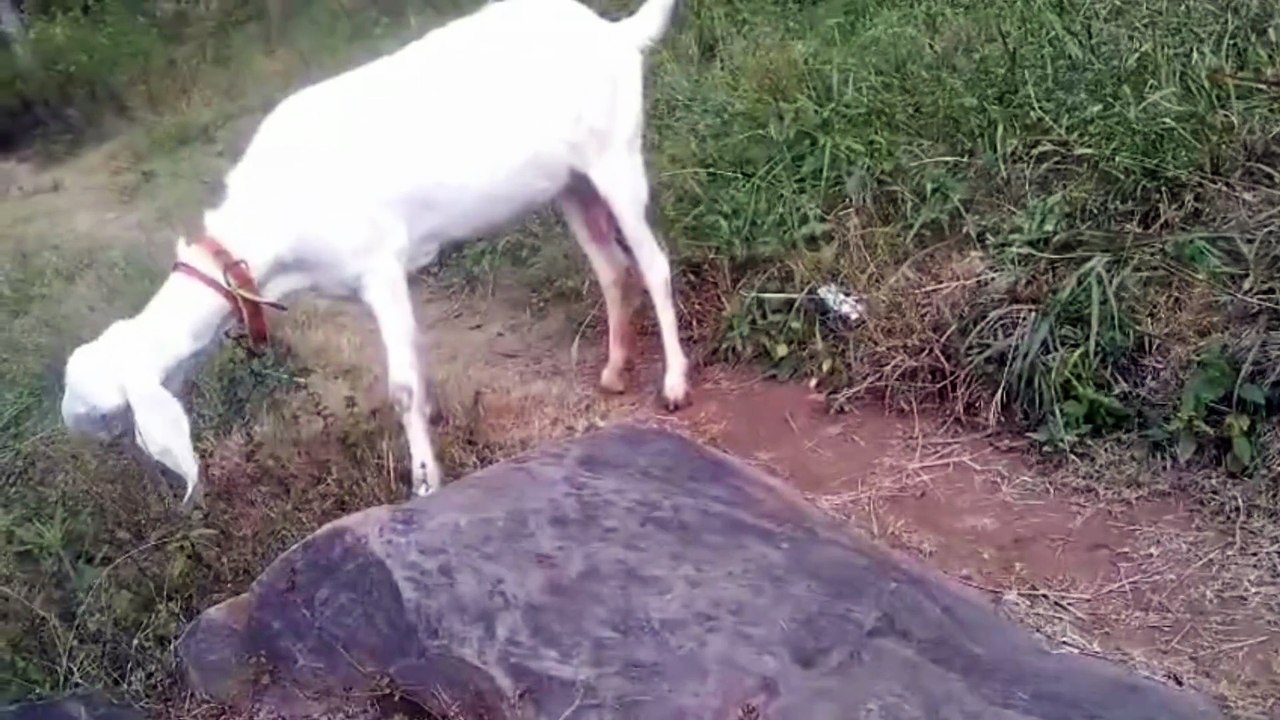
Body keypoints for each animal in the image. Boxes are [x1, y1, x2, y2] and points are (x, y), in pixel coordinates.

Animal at [59, 0, 692, 506]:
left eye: (98, 405)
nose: (65, 422)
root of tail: (616, 33)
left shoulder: (381, 267)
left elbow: (403, 387)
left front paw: (425, 484)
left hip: (616, 157)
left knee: (654, 264)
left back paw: (675, 384)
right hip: (572, 185)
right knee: (612, 269)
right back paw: (614, 370)